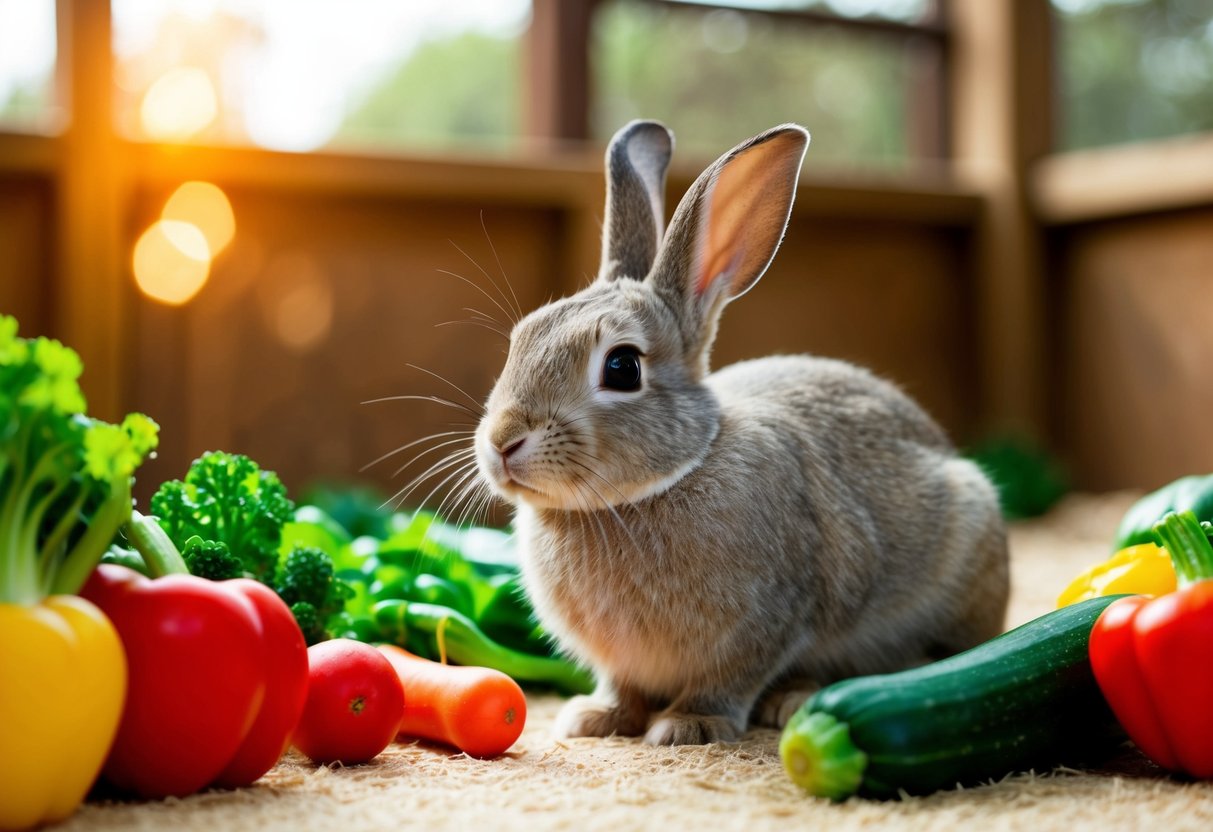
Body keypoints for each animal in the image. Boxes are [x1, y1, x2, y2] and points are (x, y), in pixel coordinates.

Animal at [473, 120, 1010, 746]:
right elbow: (621, 686)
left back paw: (797, 698)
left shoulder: (768, 624)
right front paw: (594, 718)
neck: (664, 480)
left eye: (622, 368)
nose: (503, 442)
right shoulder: (622, 663)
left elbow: (730, 679)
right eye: (521, 338)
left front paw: (686, 726)